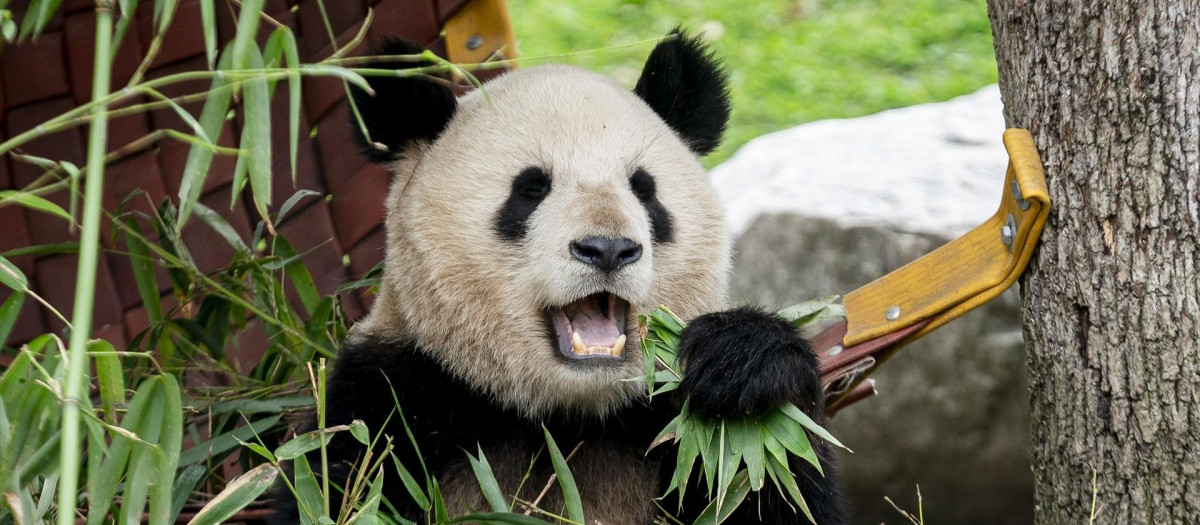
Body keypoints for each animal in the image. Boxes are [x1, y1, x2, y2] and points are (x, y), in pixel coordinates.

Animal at [275, 30, 846, 525]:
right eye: (530, 189)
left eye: (644, 190)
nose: (608, 249)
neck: (565, 414)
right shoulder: (388, 402)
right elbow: (341, 490)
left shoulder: (665, 423)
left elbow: (763, 472)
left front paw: (742, 361)